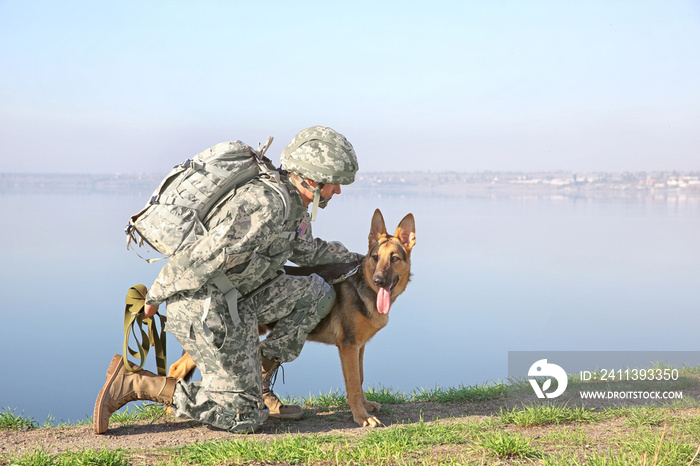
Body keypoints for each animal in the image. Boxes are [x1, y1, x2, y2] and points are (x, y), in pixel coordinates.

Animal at [169, 209, 416, 428]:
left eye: (394, 258)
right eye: (375, 258)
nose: (379, 280)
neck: (363, 284)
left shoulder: (358, 347)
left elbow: (361, 378)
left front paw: (365, 406)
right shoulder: (348, 347)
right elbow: (353, 384)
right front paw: (361, 417)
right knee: (177, 368)